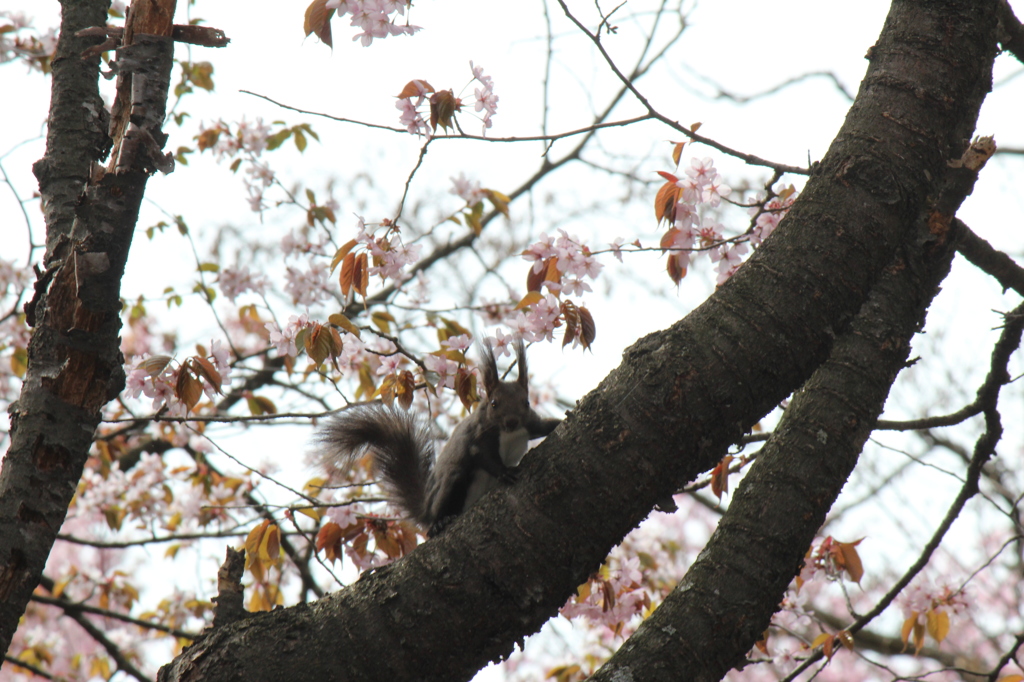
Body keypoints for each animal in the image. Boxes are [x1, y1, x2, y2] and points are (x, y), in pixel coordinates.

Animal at [317, 337, 561, 532]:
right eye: (493, 403)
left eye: (526, 402)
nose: (511, 421)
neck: (507, 433)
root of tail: (426, 508)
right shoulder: (478, 438)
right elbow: (483, 456)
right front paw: (504, 472)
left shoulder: (529, 425)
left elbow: (545, 426)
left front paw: (562, 419)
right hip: (451, 484)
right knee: (442, 507)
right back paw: (439, 523)